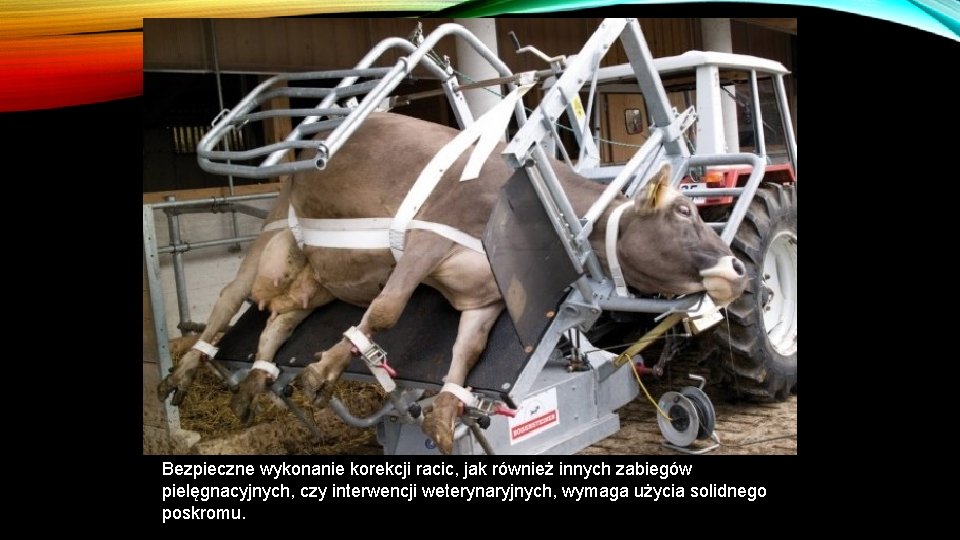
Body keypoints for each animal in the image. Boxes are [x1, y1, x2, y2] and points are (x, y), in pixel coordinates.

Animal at [160, 111, 747, 454]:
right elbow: (388, 310)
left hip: (320, 276)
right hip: (276, 235)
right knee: (231, 298)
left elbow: (466, 353)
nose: (738, 270)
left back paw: (256, 382)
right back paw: (184, 372)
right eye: (684, 212)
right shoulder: (425, 243)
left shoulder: (483, 299)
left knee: (283, 314)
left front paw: (444, 410)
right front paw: (324, 369)